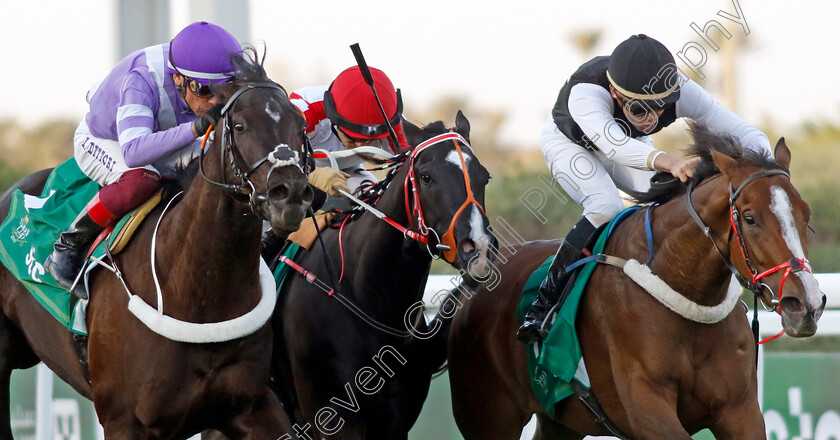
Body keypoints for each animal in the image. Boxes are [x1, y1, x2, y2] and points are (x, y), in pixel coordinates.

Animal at [0, 50, 314, 436]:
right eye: (239, 126)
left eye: (300, 126)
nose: (292, 195)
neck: (197, 293)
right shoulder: (123, 421)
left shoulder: (253, 405)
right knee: (138, 176)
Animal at [450, 124, 824, 440]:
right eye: (749, 218)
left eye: (806, 214)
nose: (805, 304)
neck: (686, 293)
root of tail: (475, 280)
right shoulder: (647, 407)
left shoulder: (739, 410)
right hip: (490, 416)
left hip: (560, 419)